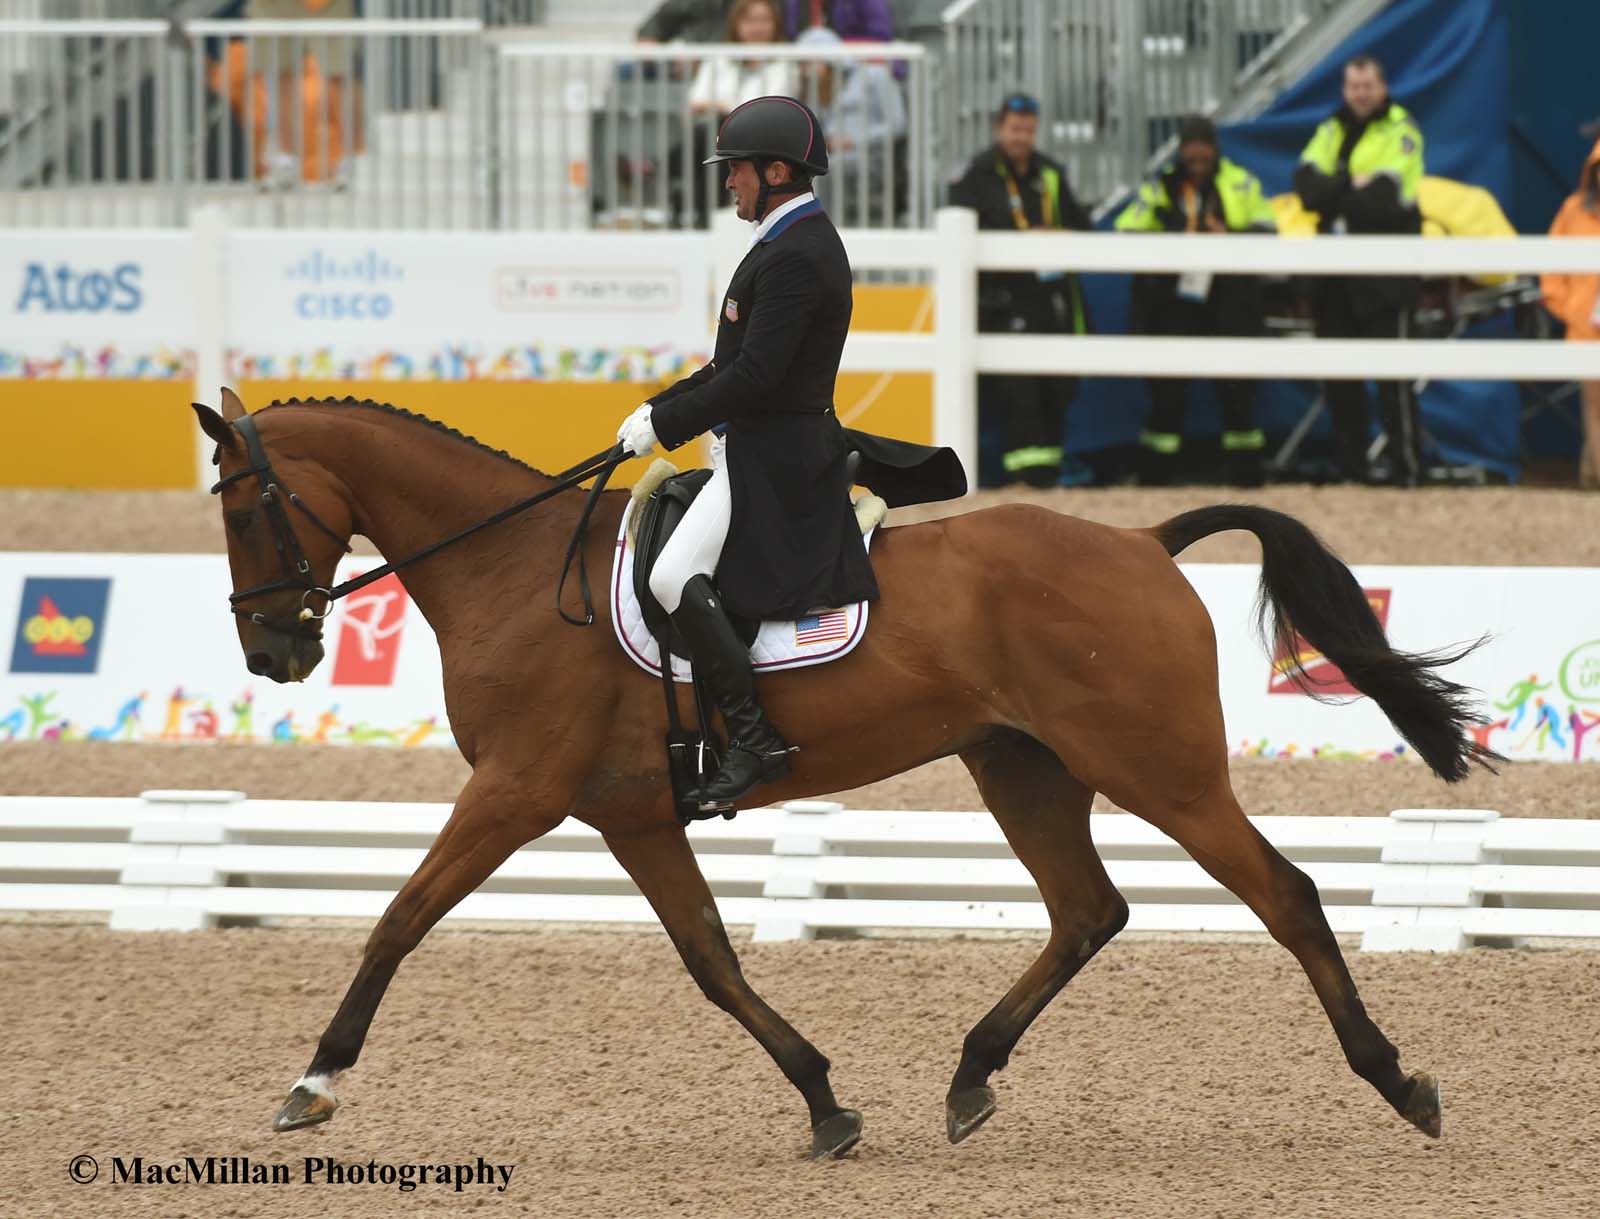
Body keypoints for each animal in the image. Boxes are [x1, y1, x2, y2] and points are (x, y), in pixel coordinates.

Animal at [193, 388, 1491, 1158]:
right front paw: (824, 1103)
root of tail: (1139, 539)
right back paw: (968, 1078)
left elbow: (398, 918)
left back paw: (1399, 1082)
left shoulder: (516, 792)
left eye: (249, 508)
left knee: (1284, 895)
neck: (511, 568)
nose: (273, 653)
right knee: (1087, 910)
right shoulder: (632, 816)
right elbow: (712, 963)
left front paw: (315, 1080)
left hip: (1156, 769)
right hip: (1022, 766)